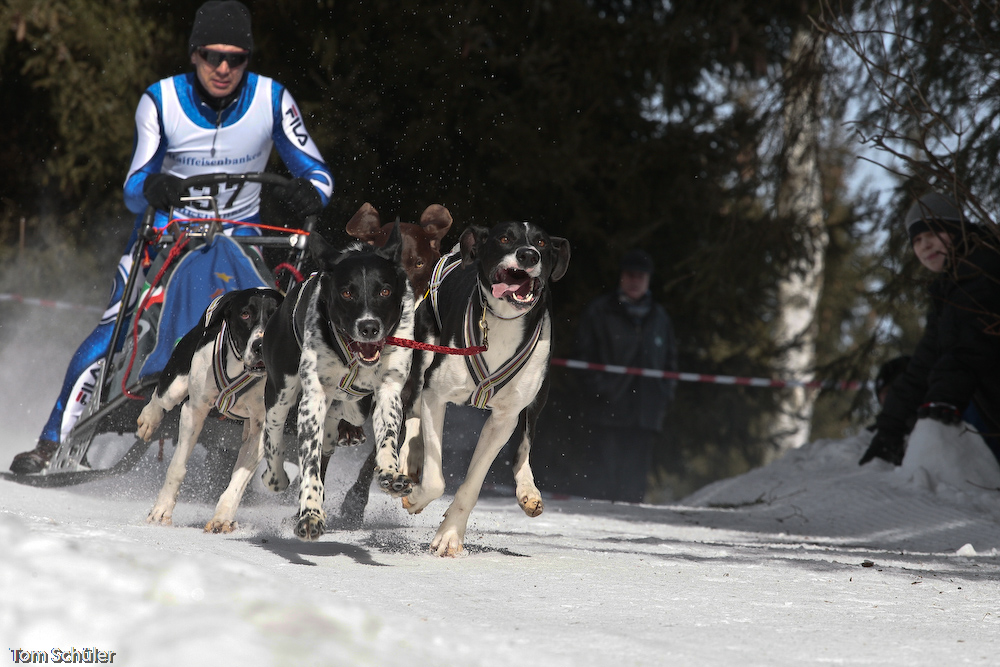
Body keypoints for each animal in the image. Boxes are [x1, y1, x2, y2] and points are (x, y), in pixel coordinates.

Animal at [139, 288, 284, 532]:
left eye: (276, 314)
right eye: (245, 314)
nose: (260, 346)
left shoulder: (263, 430)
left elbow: (238, 480)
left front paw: (222, 517)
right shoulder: (194, 411)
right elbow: (177, 467)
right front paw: (161, 510)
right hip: (176, 380)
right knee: (161, 398)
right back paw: (149, 419)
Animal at [262, 227, 414, 540]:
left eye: (384, 291)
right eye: (347, 292)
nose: (369, 327)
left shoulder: (390, 390)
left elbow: (388, 437)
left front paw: (390, 473)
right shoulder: (313, 400)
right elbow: (309, 464)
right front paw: (310, 514)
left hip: (349, 411)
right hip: (280, 392)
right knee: (272, 433)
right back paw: (276, 477)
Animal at [400, 222, 572, 556]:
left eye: (542, 242)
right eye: (504, 237)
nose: (528, 254)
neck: (503, 323)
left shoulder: (504, 419)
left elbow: (473, 483)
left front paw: (450, 535)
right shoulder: (435, 395)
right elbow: (435, 481)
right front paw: (416, 497)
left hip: (538, 398)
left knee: (525, 443)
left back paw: (527, 488)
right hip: (422, 355)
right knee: (413, 409)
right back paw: (410, 457)